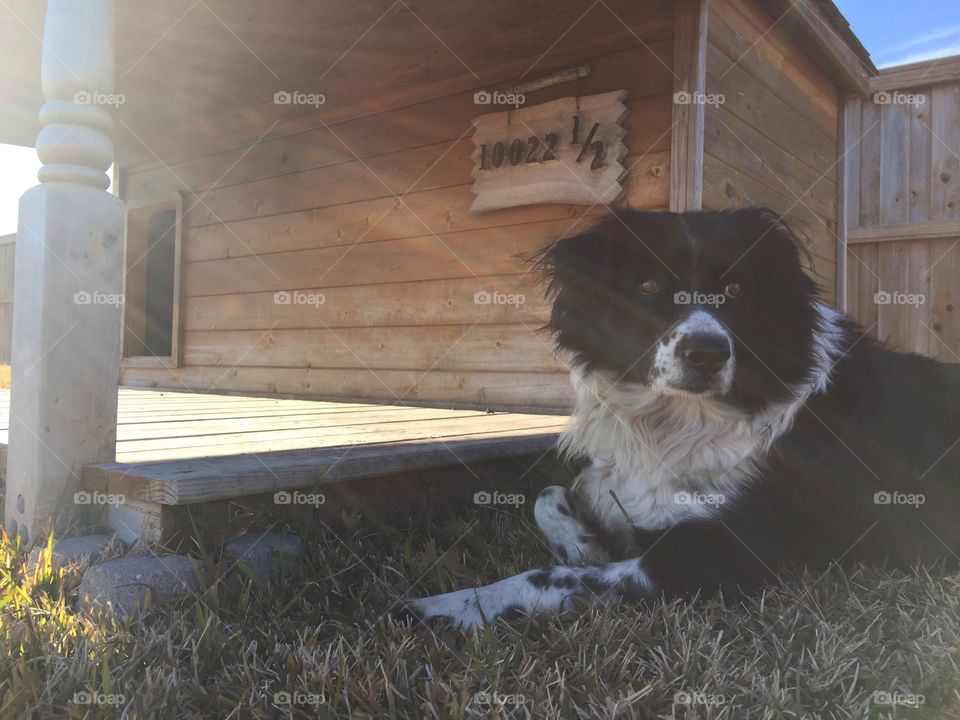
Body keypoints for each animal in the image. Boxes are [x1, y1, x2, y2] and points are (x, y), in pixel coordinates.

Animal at [400, 205, 960, 628]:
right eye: (647, 285)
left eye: (735, 291)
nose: (707, 353)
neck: (681, 420)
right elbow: (551, 493)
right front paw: (583, 543)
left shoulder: (713, 559)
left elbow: (545, 577)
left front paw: (444, 606)